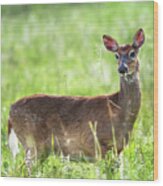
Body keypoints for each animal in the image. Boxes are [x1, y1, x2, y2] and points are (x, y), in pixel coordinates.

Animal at [7, 28, 145, 174]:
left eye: (132, 53)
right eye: (116, 56)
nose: (122, 69)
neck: (118, 109)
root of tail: (10, 110)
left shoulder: (118, 149)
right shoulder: (96, 144)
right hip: (32, 143)